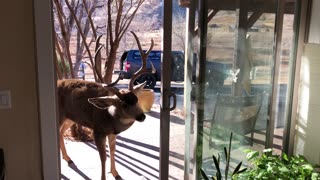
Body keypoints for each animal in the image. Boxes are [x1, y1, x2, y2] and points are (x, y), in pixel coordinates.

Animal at [57, 31, 155, 179]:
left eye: (137, 99)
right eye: (124, 104)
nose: (142, 116)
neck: (110, 118)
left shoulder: (112, 134)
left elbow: (113, 151)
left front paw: (116, 173)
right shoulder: (98, 130)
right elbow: (103, 157)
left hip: (70, 117)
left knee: (61, 132)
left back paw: (68, 159)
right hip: (60, 115)